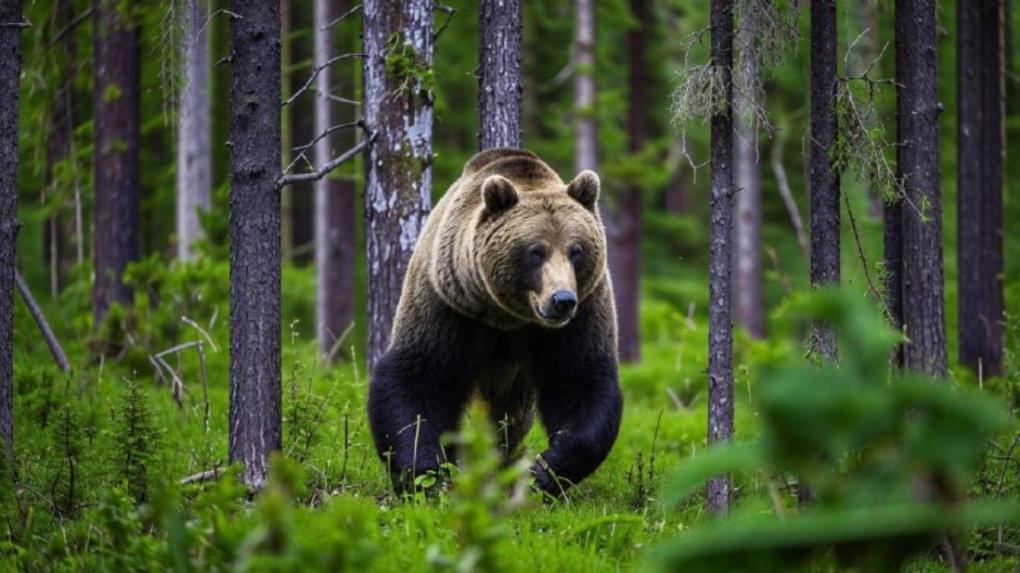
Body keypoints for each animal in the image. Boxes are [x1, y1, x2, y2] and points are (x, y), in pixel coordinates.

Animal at [369, 147, 620, 495]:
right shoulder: (450, 303)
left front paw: (543, 471)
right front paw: (428, 476)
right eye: (536, 251)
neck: (507, 316)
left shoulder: (581, 314)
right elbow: (420, 375)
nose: (562, 300)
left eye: (576, 250)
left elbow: (580, 380)